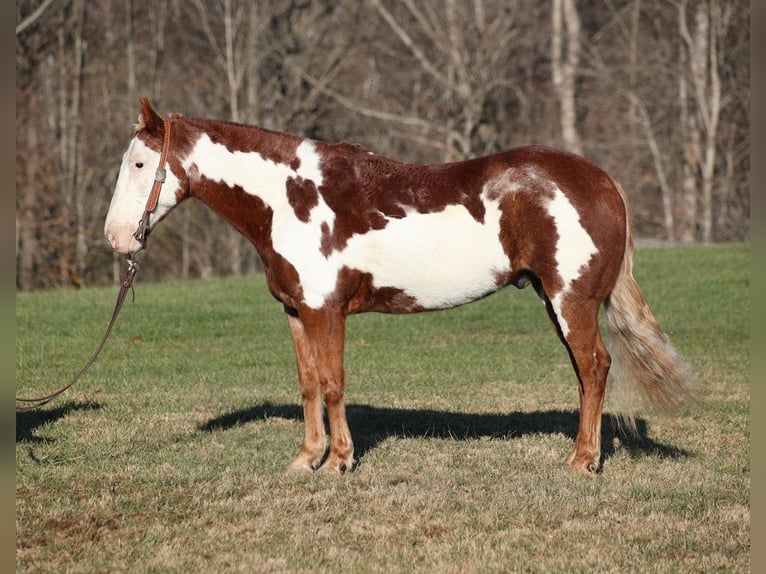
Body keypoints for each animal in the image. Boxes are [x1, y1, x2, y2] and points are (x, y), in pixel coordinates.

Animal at [105, 98, 692, 476]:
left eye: (140, 163)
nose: (115, 237)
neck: (290, 198)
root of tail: (601, 179)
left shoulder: (325, 311)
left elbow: (334, 384)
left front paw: (338, 462)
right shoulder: (296, 312)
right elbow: (309, 384)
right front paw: (306, 460)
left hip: (572, 302)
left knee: (594, 368)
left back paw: (582, 462)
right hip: (559, 303)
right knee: (586, 373)